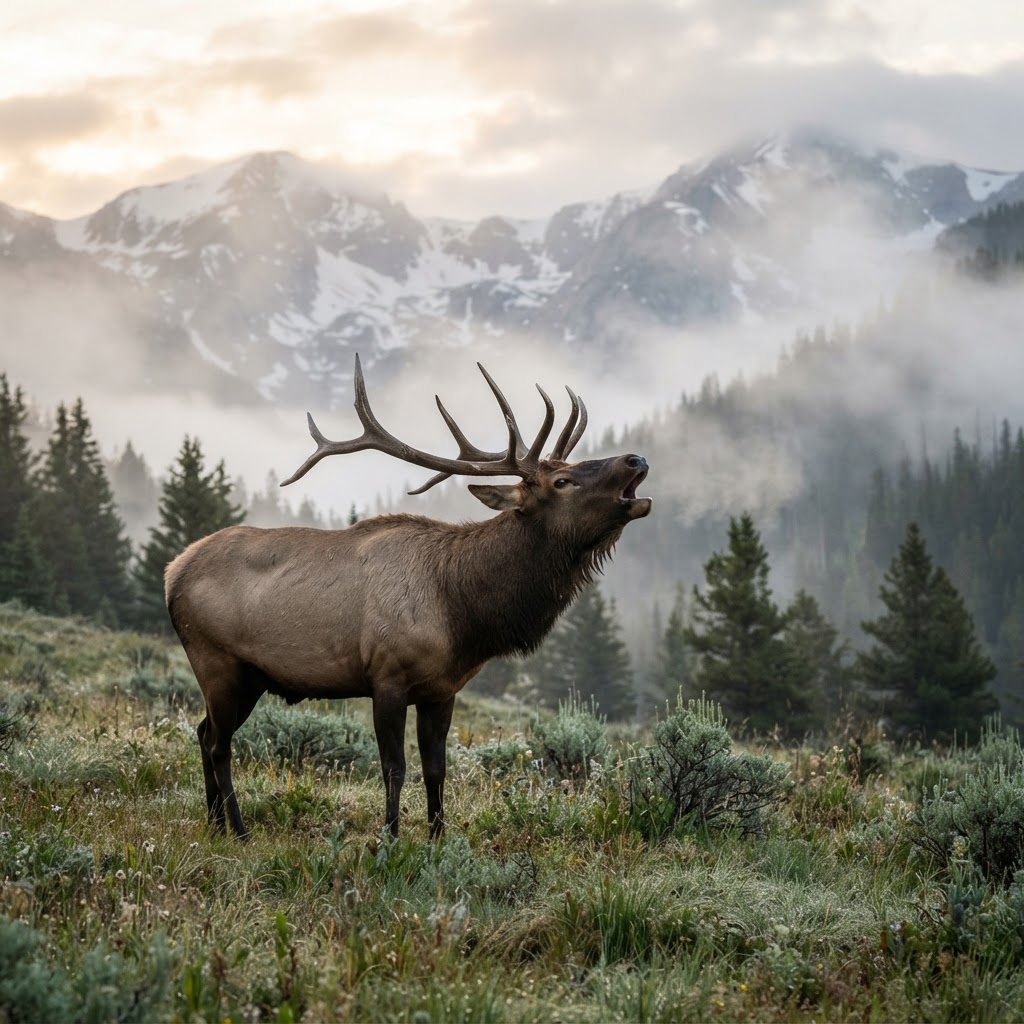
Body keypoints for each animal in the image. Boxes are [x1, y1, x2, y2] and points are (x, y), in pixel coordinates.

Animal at [165, 355, 651, 840]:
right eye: (563, 481)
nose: (637, 458)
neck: (462, 612)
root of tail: (172, 573)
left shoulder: (442, 689)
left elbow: (436, 769)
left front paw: (438, 838)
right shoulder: (387, 675)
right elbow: (394, 767)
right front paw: (391, 837)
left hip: (249, 677)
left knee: (202, 731)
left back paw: (214, 823)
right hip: (217, 661)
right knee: (218, 743)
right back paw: (238, 828)